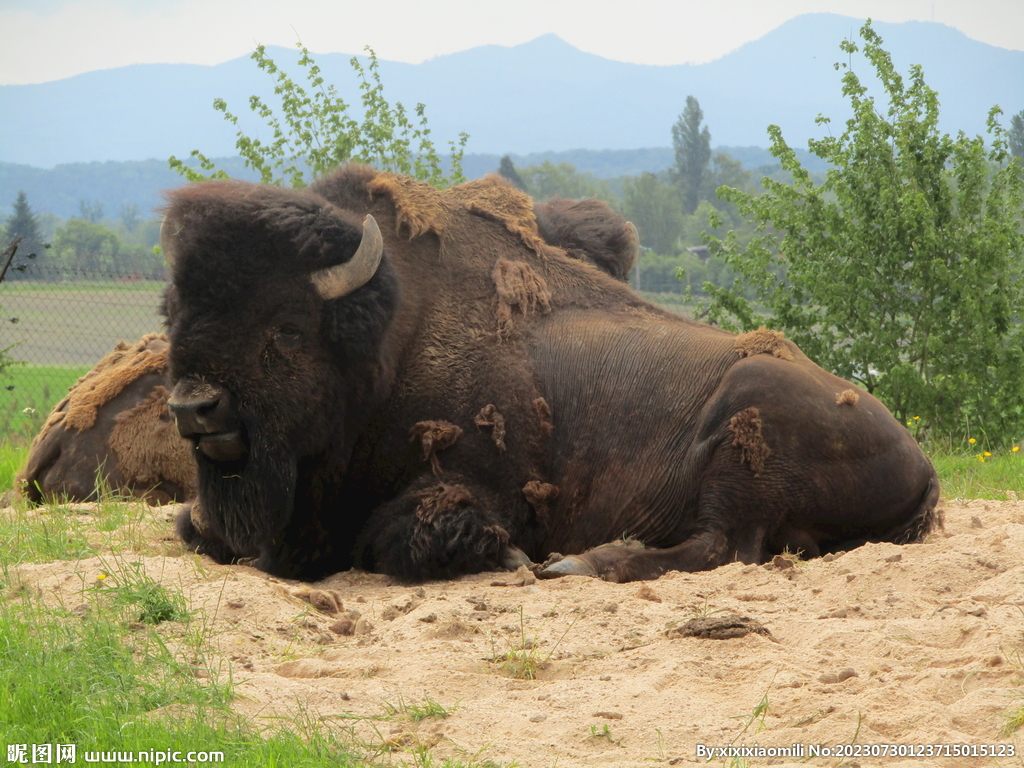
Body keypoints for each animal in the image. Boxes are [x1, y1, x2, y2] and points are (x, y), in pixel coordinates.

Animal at [161, 163, 942, 581]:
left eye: (287, 329)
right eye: (173, 315)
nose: (195, 408)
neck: (393, 333)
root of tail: (922, 458)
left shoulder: (476, 489)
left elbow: (403, 536)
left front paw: (510, 557)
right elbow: (192, 526)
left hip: (746, 424)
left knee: (726, 544)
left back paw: (578, 564)